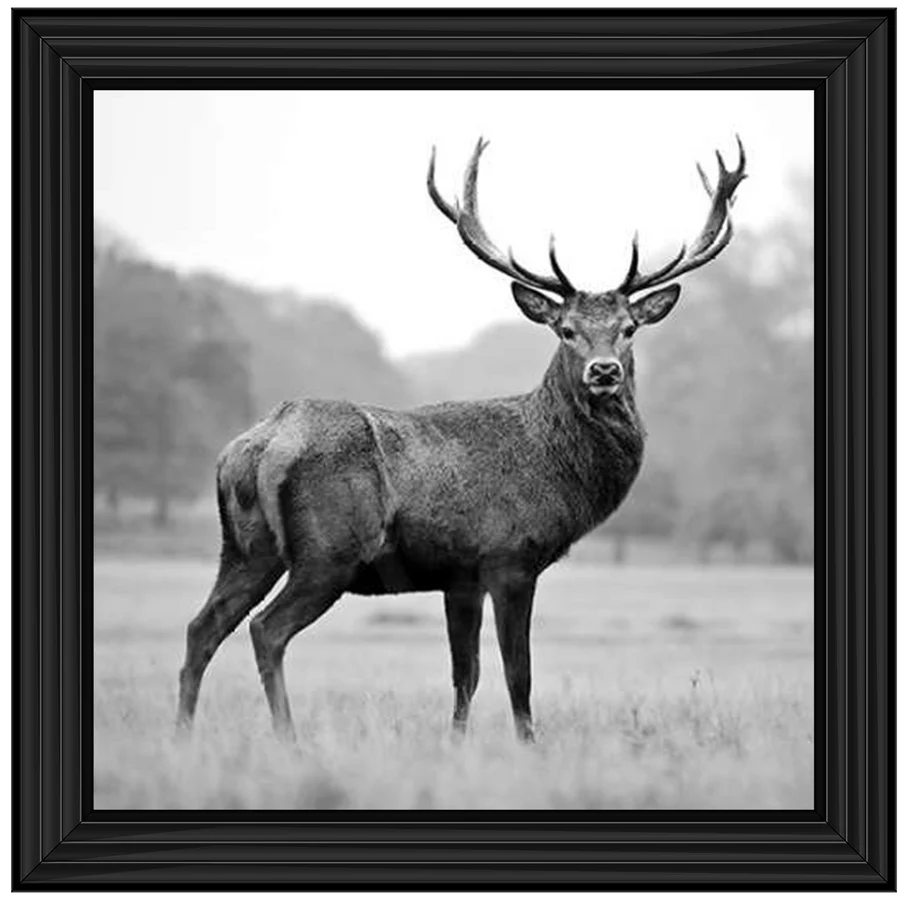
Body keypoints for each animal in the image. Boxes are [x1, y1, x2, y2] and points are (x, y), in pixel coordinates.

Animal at [174, 137, 744, 744]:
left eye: (629, 329)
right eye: (566, 330)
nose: (605, 371)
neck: (555, 469)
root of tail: (259, 445)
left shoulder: (459, 576)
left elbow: (464, 673)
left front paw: (457, 744)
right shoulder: (510, 557)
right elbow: (519, 673)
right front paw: (529, 746)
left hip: (245, 547)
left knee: (202, 627)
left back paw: (183, 733)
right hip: (329, 551)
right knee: (266, 629)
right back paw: (288, 739)